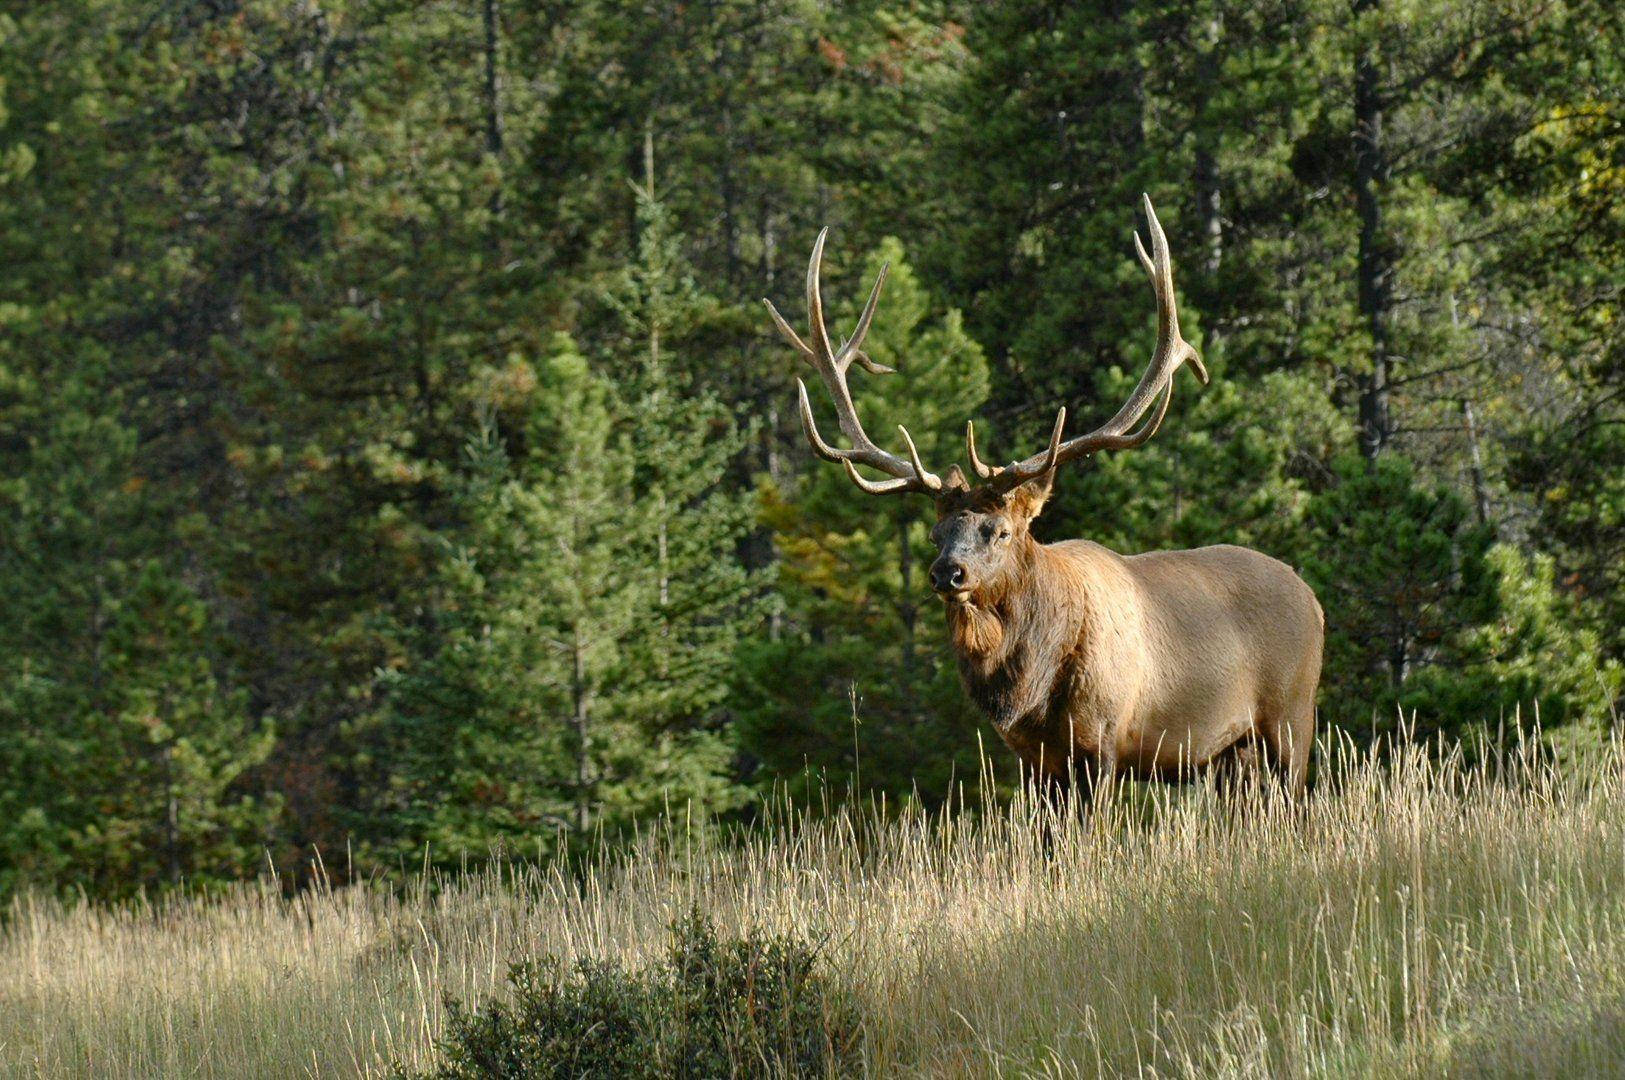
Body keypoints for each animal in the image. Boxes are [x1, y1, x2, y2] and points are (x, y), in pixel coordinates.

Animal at [760, 195, 1319, 799]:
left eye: (1000, 530)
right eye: (936, 532)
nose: (947, 573)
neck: (1031, 690)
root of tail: (1312, 599)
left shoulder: (1104, 739)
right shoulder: (1032, 758)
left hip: (1292, 718)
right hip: (1229, 756)